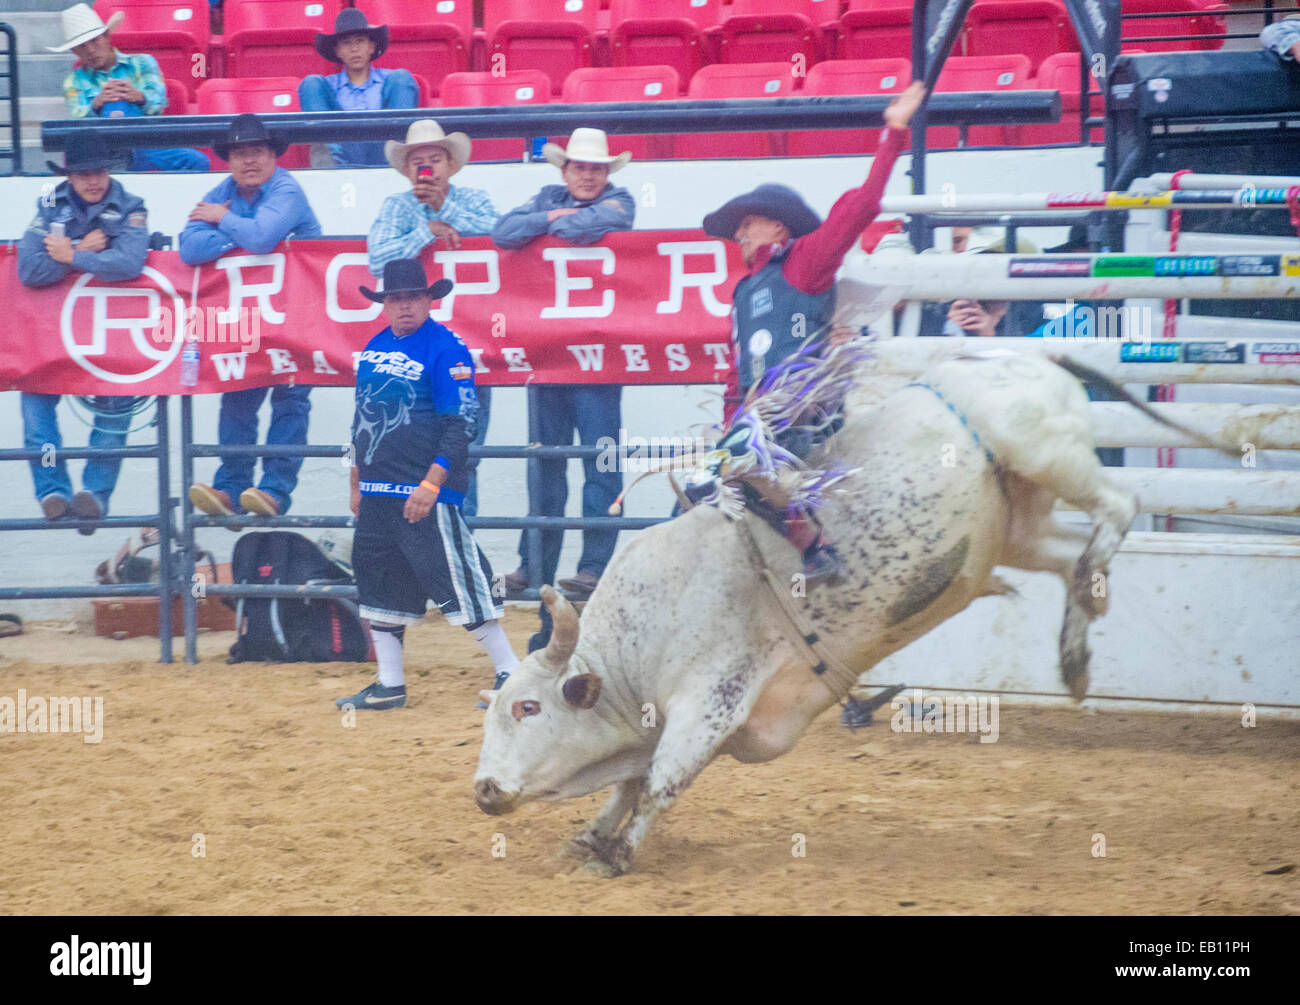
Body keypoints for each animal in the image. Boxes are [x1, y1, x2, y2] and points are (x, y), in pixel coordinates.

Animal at [473, 343, 1199, 877]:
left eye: (528, 708)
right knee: (1074, 555)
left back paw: (1083, 632)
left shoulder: (712, 700)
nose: (483, 789)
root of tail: (1024, 354)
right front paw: (590, 837)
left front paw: (617, 853)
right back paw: (1079, 639)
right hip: (1018, 525)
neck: (641, 637)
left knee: (1119, 505)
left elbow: (659, 780)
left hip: (1049, 456)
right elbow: (628, 783)